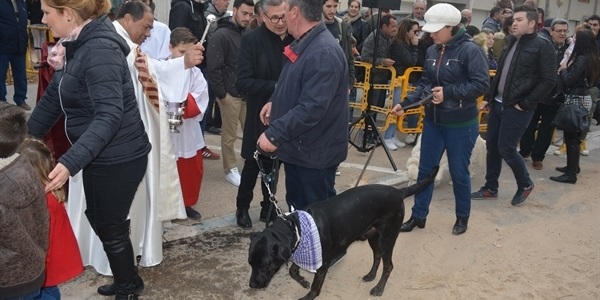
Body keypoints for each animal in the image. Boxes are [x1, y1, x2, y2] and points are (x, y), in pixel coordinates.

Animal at [246, 168, 438, 298]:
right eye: (250, 263)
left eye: (264, 264)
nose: (252, 284)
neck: (296, 227)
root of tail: (399, 191)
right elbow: (294, 271)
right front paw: (302, 280)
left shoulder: (322, 265)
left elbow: (314, 290)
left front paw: (306, 290)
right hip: (373, 236)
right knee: (377, 256)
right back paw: (371, 275)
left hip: (388, 238)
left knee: (388, 265)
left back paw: (379, 288)